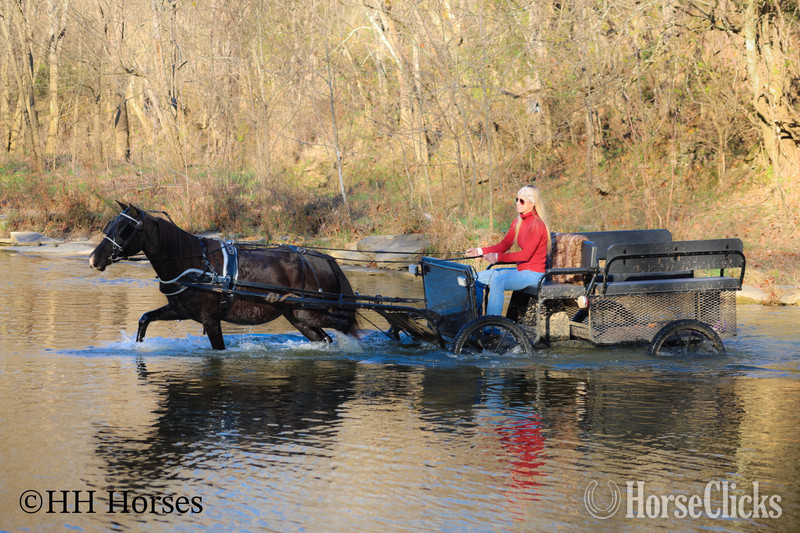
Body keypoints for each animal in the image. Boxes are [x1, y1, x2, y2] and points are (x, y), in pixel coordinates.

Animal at [89, 202, 358, 350]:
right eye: (109, 226)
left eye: (124, 229)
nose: (93, 259)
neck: (194, 262)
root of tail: (322, 258)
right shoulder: (178, 310)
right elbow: (144, 319)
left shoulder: (210, 320)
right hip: (298, 317)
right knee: (325, 338)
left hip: (309, 312)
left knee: (345, 323)